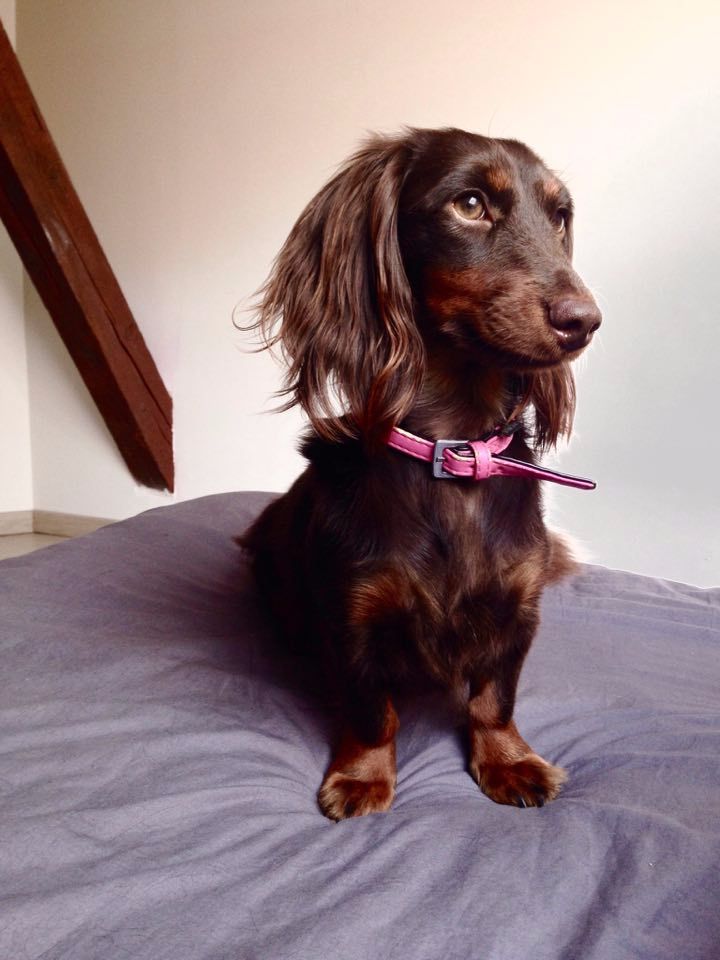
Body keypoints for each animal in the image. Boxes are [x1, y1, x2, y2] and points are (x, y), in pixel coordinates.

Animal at [241, 127, 601, 820]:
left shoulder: (519, 609)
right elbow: (371, 710)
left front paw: (509, 761)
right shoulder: (354, 615)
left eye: (560, 216)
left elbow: (494, 698)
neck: (454, 449)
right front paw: (362, 777)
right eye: (469, 203)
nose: (584, 323)